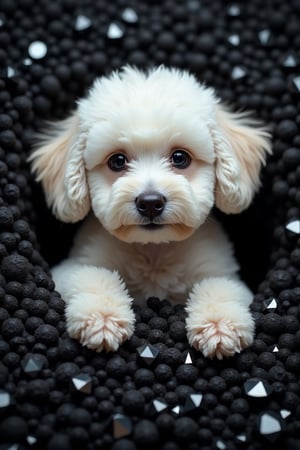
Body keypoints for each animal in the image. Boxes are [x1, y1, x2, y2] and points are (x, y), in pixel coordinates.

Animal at [29, 66, 270, 358]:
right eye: (117, 161)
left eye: (180, 158)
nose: (150, 202)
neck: (154, 250)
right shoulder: (69, 269)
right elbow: (91, 276)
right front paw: (102, 318)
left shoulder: (226, 275)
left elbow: (220, 287)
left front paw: (219, 324)